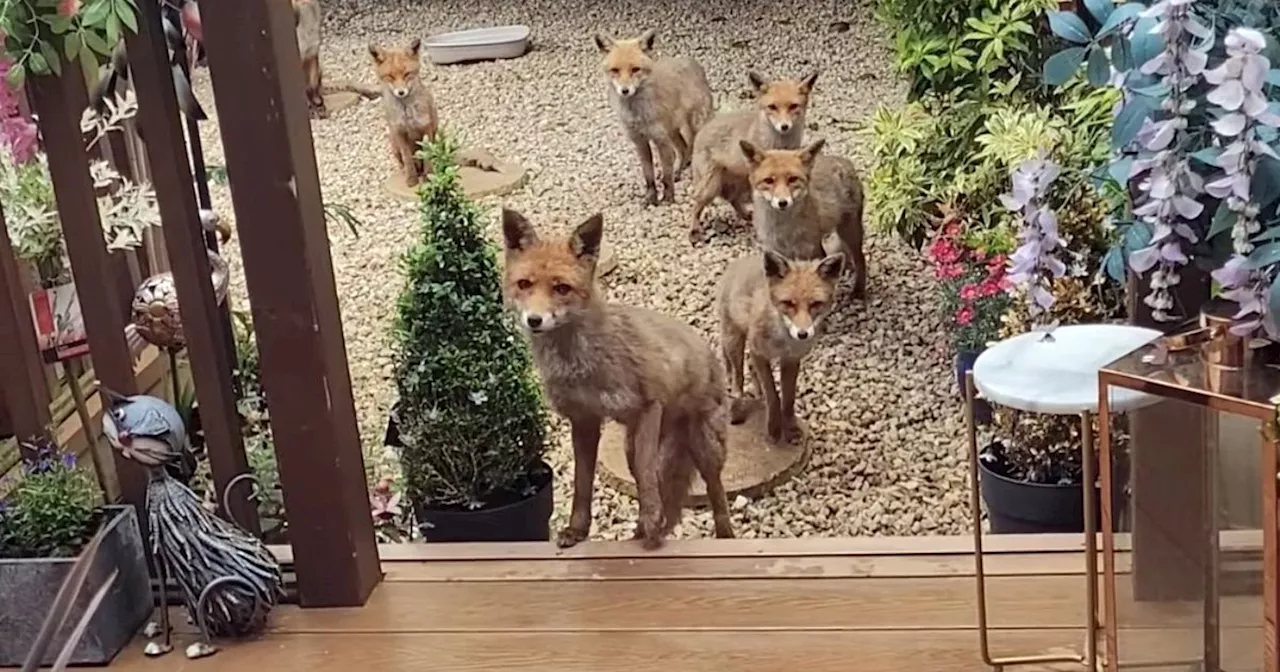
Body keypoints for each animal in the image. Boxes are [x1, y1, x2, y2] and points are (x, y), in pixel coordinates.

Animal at [371, 38, 440, 186]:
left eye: (407, 74)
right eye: (390, 76)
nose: (401, 92)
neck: (407, 113)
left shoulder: (426, 127)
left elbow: (427, 156)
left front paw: (428, 177)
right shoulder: (399, 131)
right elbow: (407, 158)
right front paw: (411, 178)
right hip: (393, 143)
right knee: (403, 162)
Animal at [501, 209, 742, 550]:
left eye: (561, 288)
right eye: (524, 284)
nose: (534, 320)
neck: (582, 364)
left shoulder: (648, 405)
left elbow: (646, 474)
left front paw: (651, 523)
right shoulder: (584, 420)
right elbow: (583, 483)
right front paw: (577, 531)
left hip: (705, 447)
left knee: (715, 493)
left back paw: (720, 536)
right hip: (633, 444)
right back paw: (642, 530)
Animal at [593, 28, 716, 206]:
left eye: (635, 69)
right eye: (615, 70)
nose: (625, 90)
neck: (637, 115)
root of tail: (693, 62)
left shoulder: (660, 140)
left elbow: (666, 175)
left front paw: (668, 197)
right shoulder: (640, 141)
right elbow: (649, 176)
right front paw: (651, 198)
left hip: (694, 125)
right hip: (672, 131)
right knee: (684, 148)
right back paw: (680, 170)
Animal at [691, 71, 819, 240]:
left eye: (793, 106)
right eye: (772, 107)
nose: (784, 126)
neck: (779, 144)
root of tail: (703, 128)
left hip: (739, 182)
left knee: (733, 199)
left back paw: (746, 216)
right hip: (710, 187)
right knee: (697, 203)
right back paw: (694, 230)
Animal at [716, 248, 844, 442]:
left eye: (815, 304)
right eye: (788, 303)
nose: (802, 334)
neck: (783, 341)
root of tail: (738, 263)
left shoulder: (791, 359)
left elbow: (788, 398)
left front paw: (790, 427)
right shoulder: (759, 352)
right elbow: (773, 396)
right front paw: (774, 428)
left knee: (750, 370)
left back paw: (757, 396)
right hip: (734, 341)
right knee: (737, 377)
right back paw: (737, 405)